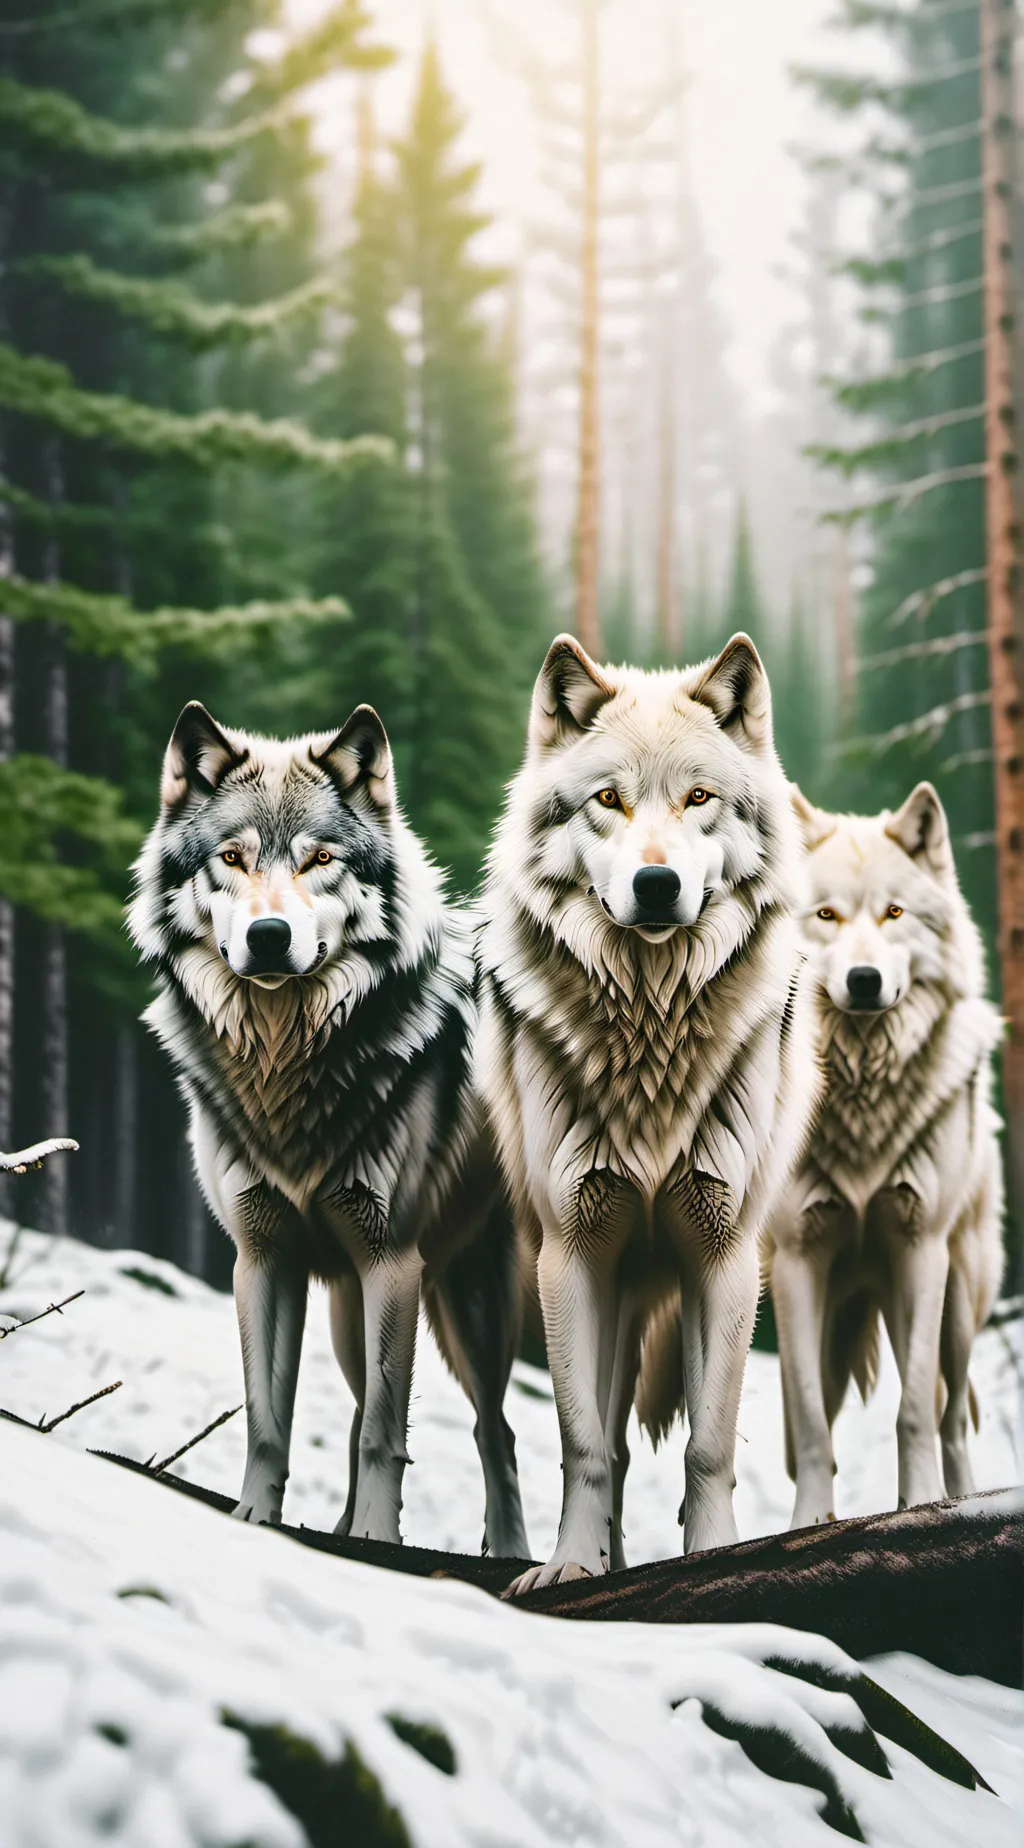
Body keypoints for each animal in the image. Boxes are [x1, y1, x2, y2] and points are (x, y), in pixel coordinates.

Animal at [129, 700, 529, 1557]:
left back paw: (522, 1555)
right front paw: (255, 1522)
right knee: (353, 1414)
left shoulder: (392, 1263)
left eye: (319, 860)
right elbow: (268, 1421)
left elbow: (384, 1432)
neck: (285, 1067)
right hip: (352, 1317)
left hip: (469, 1308)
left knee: (495, 1431)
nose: (270, 937)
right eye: (233, 858)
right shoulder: (262, 1261)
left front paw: (378, 1541)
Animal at [477, 632, 819, 1592]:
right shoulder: (573, 1255)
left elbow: (708, 1444)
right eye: (609, 800)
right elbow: (585, 1440)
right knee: (580, 1437)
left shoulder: (725, 1258)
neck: (653, 1030)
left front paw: (715, 1556)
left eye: (698, 798)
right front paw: (570, 1565)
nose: (657, 884)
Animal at [765, 782, 1004, 1526]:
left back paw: (961, 1497)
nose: (865, 980)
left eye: (894, 912)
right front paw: (808, 1522)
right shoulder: (796, 1263)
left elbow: (915, 1409)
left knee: (951, 1414)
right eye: (827, 916)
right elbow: (810, 1424)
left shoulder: (919, 1249)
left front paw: (922, 1501)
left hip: (960, 1298)